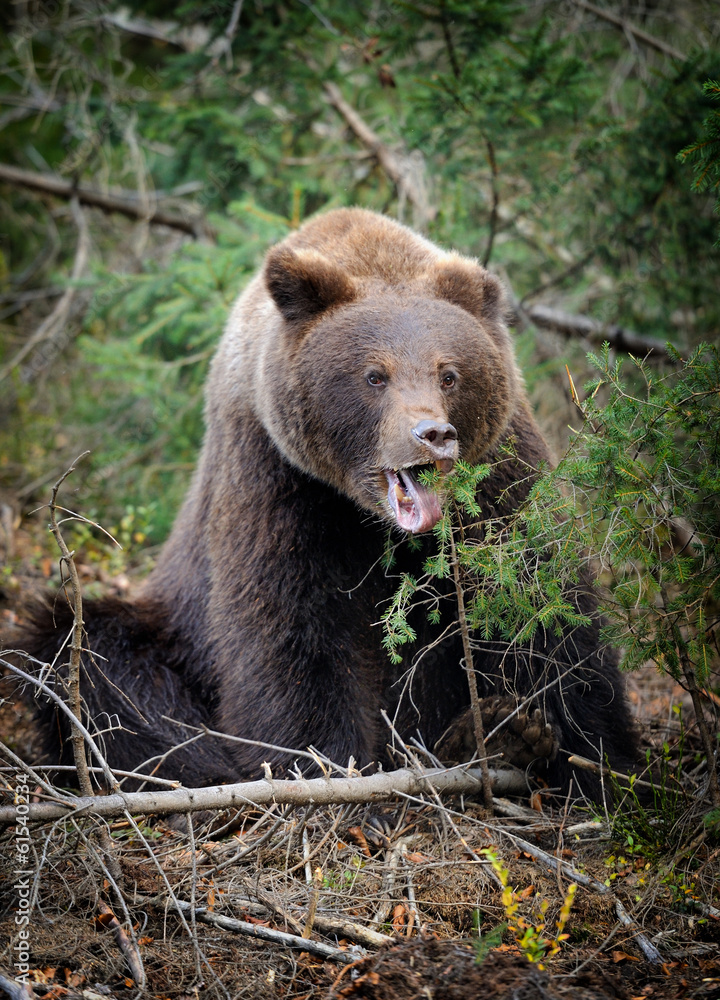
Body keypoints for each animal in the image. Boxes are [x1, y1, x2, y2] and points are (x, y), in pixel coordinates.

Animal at [14, 208, 638, 799]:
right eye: (374, 375)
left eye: (450, 373)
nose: (432, 435)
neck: (369, 518)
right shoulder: (278, 478)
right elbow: (290, 631)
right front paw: (334, 775)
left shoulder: (500, 477)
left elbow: (545, 606)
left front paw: (594, 760)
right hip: (169, 628)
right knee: (91, 657)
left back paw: (494, 735)